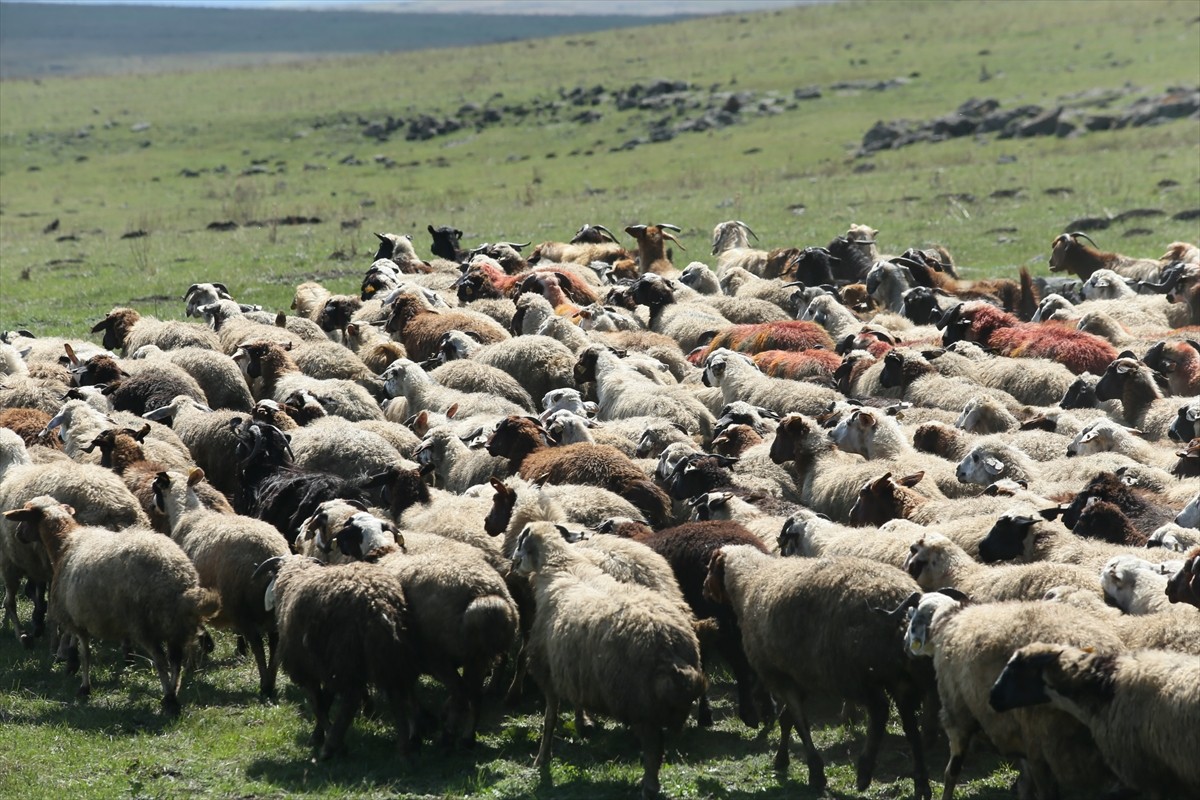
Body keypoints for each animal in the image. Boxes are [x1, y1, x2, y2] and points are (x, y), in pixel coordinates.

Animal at [4, 496, 218, 714]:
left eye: (26, 515)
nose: (18, 534)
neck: (65, 542)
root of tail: (178, 577)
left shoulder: (76, 615)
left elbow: (85, 653)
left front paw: (83, 685)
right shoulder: (80, 610)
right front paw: (71, 665)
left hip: (144, 624)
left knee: (160, 661)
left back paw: (168, 698)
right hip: (175, 626)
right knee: (176, 662)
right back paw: (173, 695)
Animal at [152, 470, 290, 700]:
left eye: (156, 487)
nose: (153, 504)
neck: (187, 513)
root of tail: (271, 555)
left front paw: (192, 663)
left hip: (240, 604)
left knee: (257, 644)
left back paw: (265, 684)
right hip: (270, 610)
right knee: (275, 642)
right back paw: (271, 681)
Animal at [254, 554, 422, 762]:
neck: (295, 576)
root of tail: (375, 601)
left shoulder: (307, 667)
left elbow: (318, 704)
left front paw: (325, 737)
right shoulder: (325, 666)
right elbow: (326, 702)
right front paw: (318, 735)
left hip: (344, 654)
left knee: (351, 700)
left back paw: (332, 746)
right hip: (385, 653)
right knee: (395, 694)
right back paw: (404, 749)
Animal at [902, 592, 1123, 796]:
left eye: (914, 622)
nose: (905, 646)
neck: (948, 622)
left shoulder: (958, 711)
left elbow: (951, 772)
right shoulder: (1016, 728)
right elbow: (1025, 781)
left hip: (1044, 734)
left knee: (1047, 789)